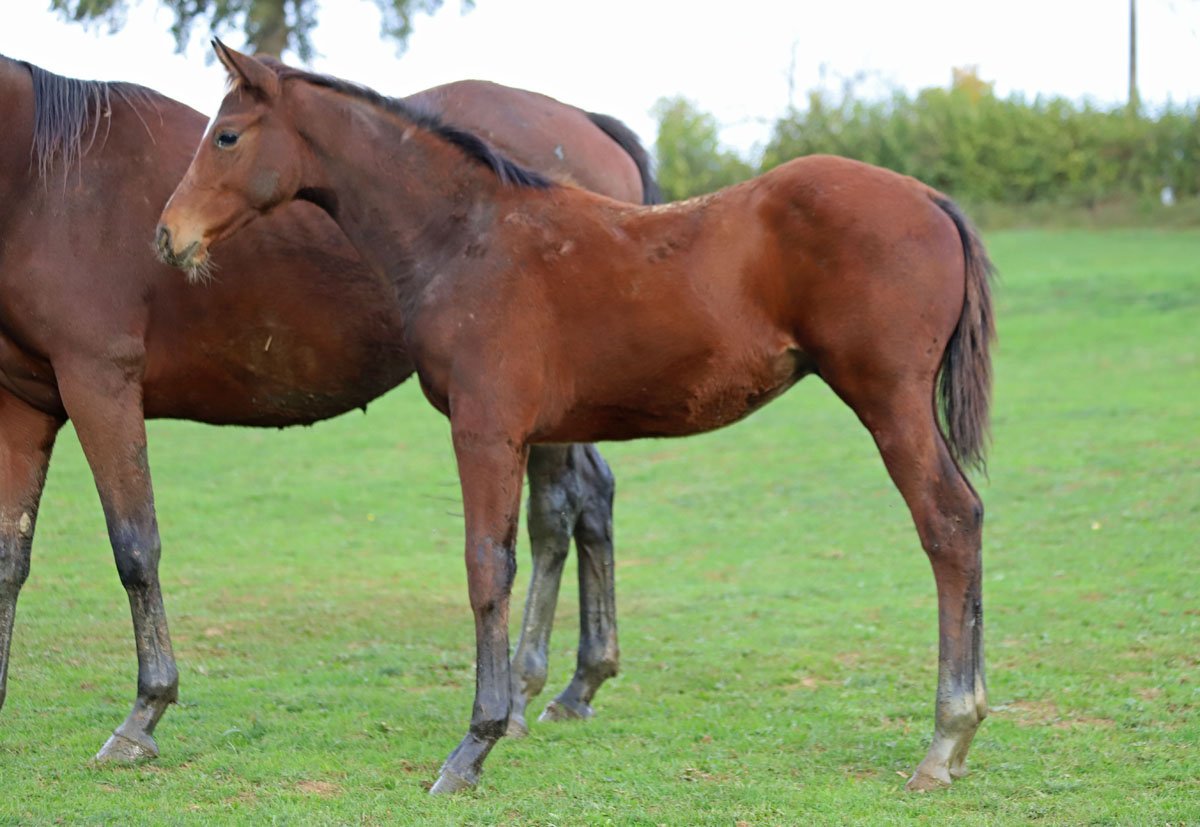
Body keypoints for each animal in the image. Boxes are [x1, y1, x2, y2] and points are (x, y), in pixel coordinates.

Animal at [0, 52, 660, 764]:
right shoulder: (24, 403)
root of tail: (585, 122)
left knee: (555, 514)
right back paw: (579, 682)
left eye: (226, 137)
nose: (171, 235)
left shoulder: (100, 383)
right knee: (592, 499)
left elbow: (134, 548)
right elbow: (11, 555)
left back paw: (519, 689)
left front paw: (145, 713)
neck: (43, 181)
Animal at [157, 42, 996, 795]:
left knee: (948, 520)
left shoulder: (485, 427)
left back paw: (944, 739)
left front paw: (474, 745)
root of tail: (932, 200)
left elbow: (487, 566)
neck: (467, 237)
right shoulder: (540, 428)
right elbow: (545, 530)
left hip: (889, 398)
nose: (170, 235)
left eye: (227, 135)